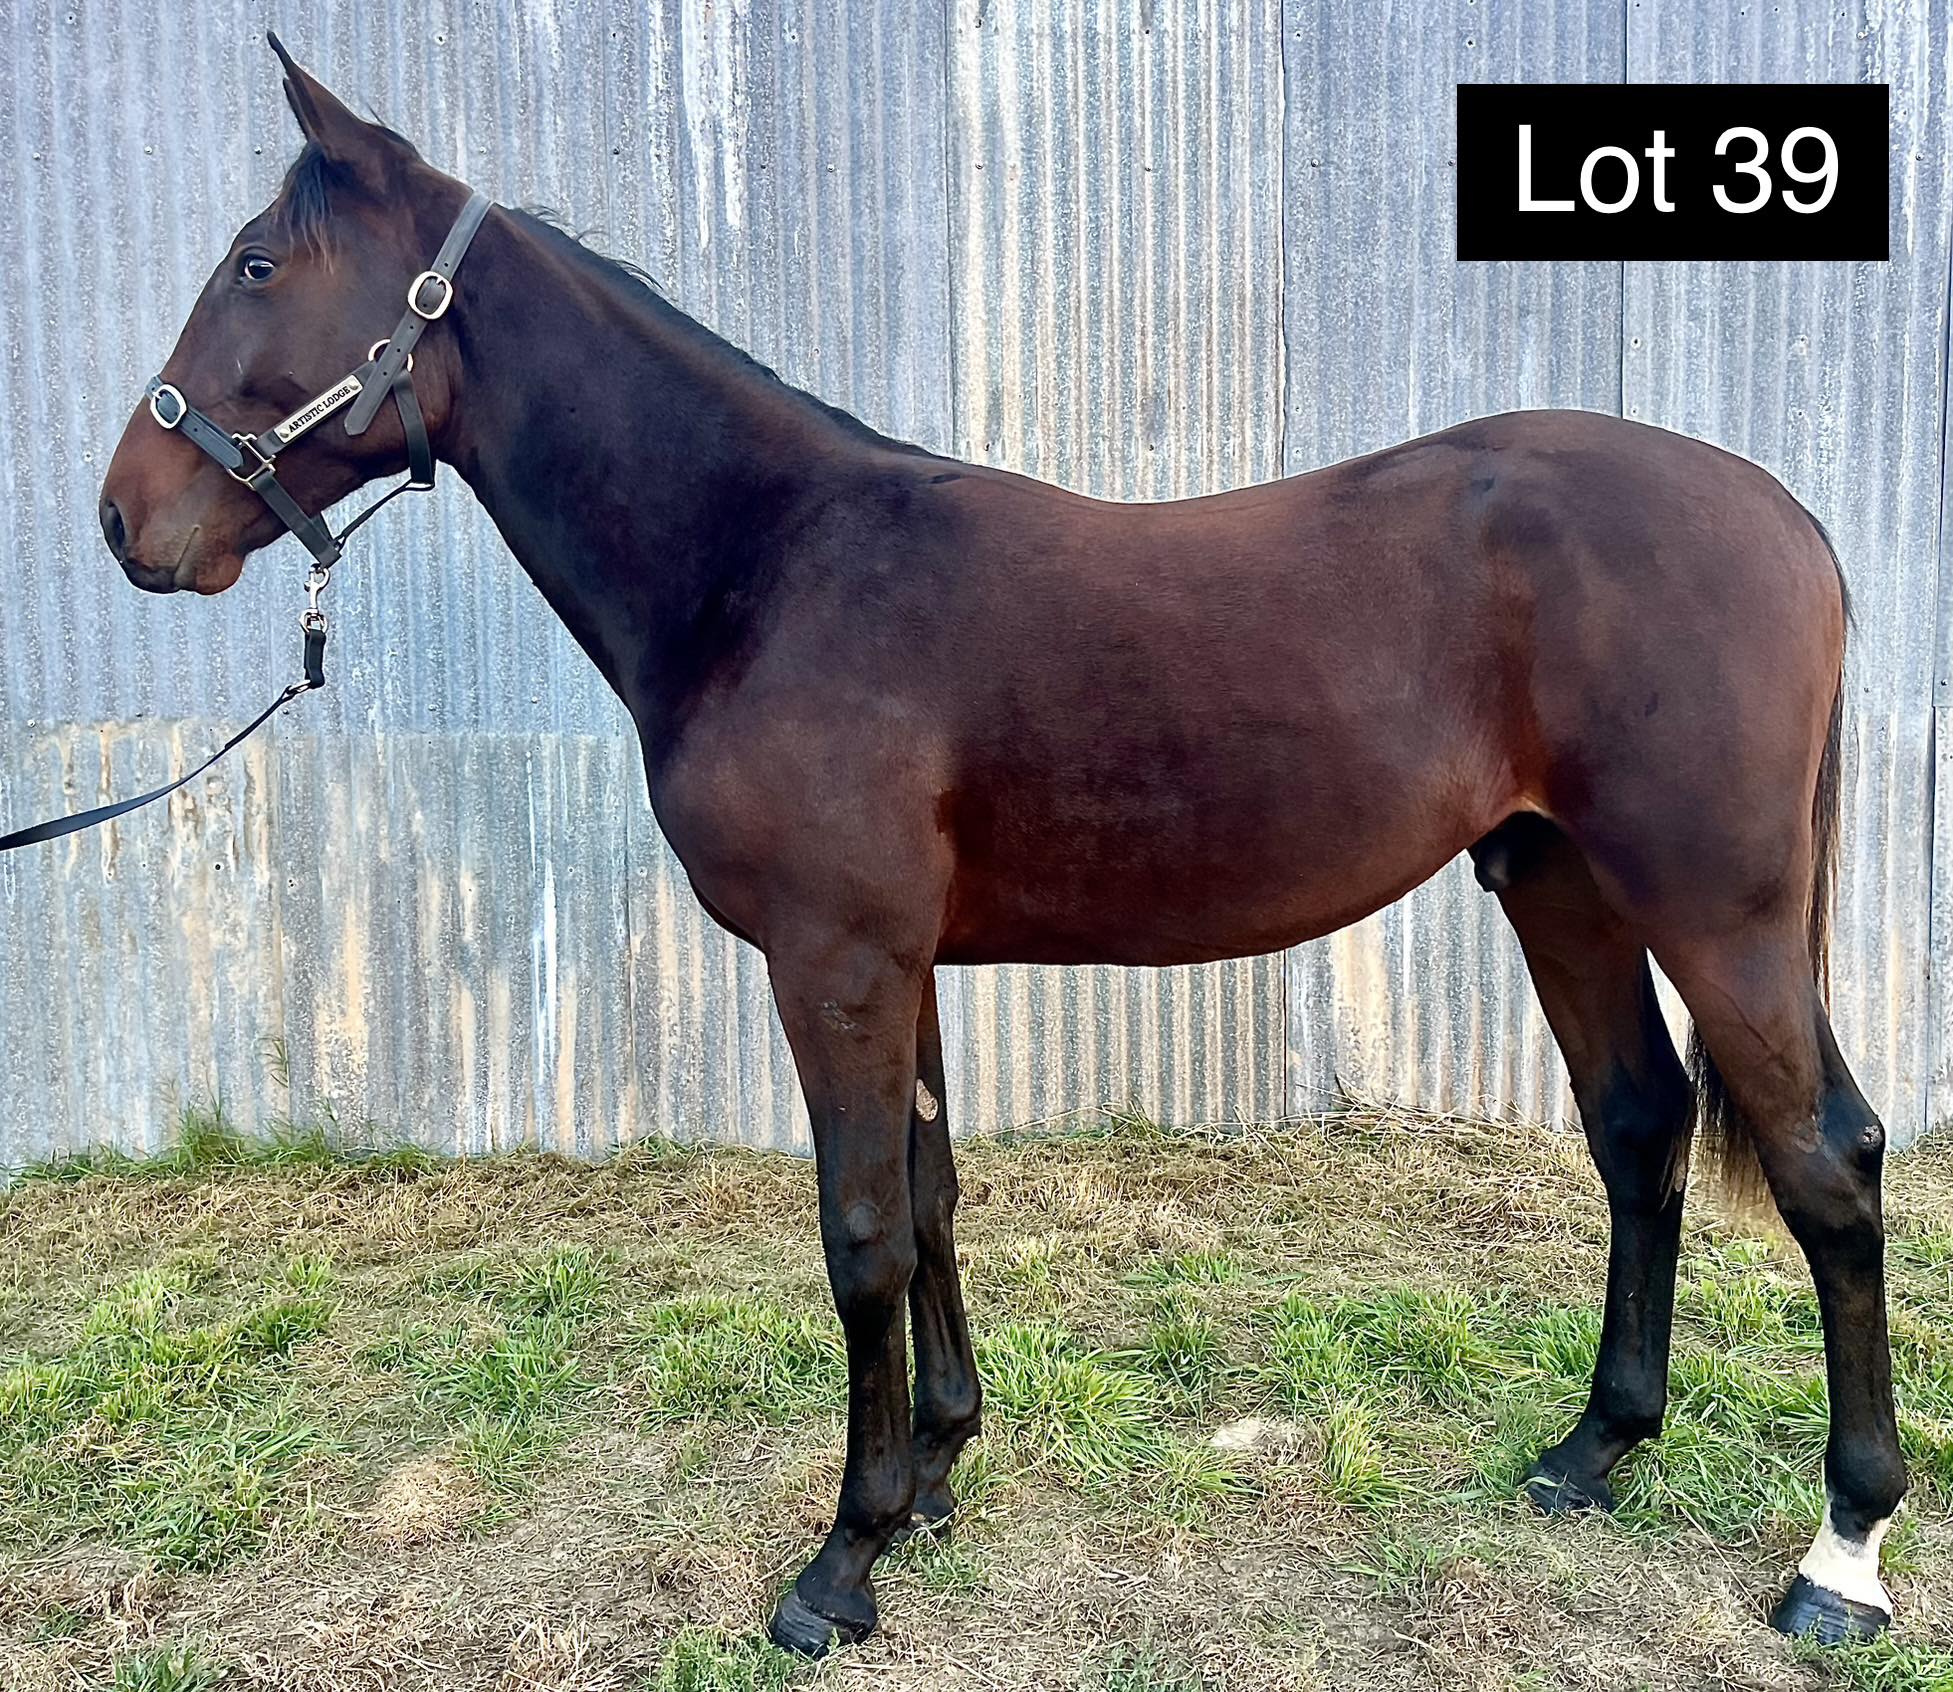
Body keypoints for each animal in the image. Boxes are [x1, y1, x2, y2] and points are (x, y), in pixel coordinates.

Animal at [96, 38, 1903, 1658]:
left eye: (258, 264)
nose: (125, 517)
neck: (771, 567)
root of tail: (1790, 521)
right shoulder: (899, 963)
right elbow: (931, 1192)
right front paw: (937, 1474)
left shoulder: (831, 962)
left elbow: (858, 1234)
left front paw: (840, 1559)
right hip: (1560, 882)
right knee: (1637, 1126)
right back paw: (1594, 1449)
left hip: (1717, 910)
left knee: (1827, 1163)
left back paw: (1841, 1555)